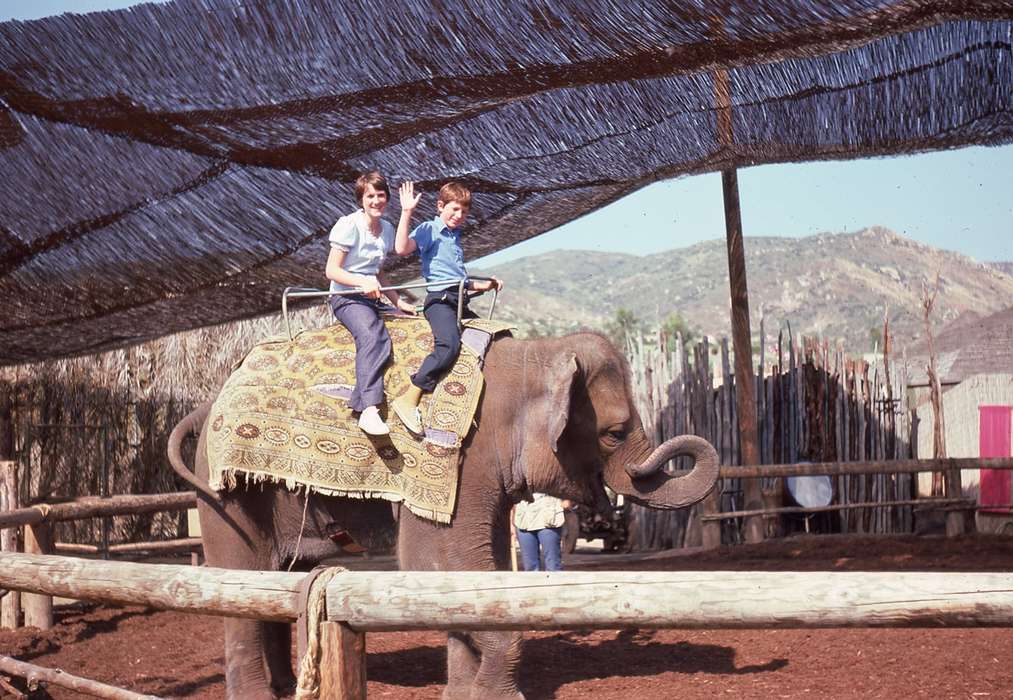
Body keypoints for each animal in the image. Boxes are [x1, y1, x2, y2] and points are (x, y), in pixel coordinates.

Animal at [168, 330, 721, 700]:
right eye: (614, 433)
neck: (534, 353)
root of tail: (205, 405)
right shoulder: (454, 456)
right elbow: (437, 565)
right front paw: (498, 697)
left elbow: (469, 572)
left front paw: (463, 695)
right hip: (224, 492)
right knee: (238, 578)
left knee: (276, 582)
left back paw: (286, 688)